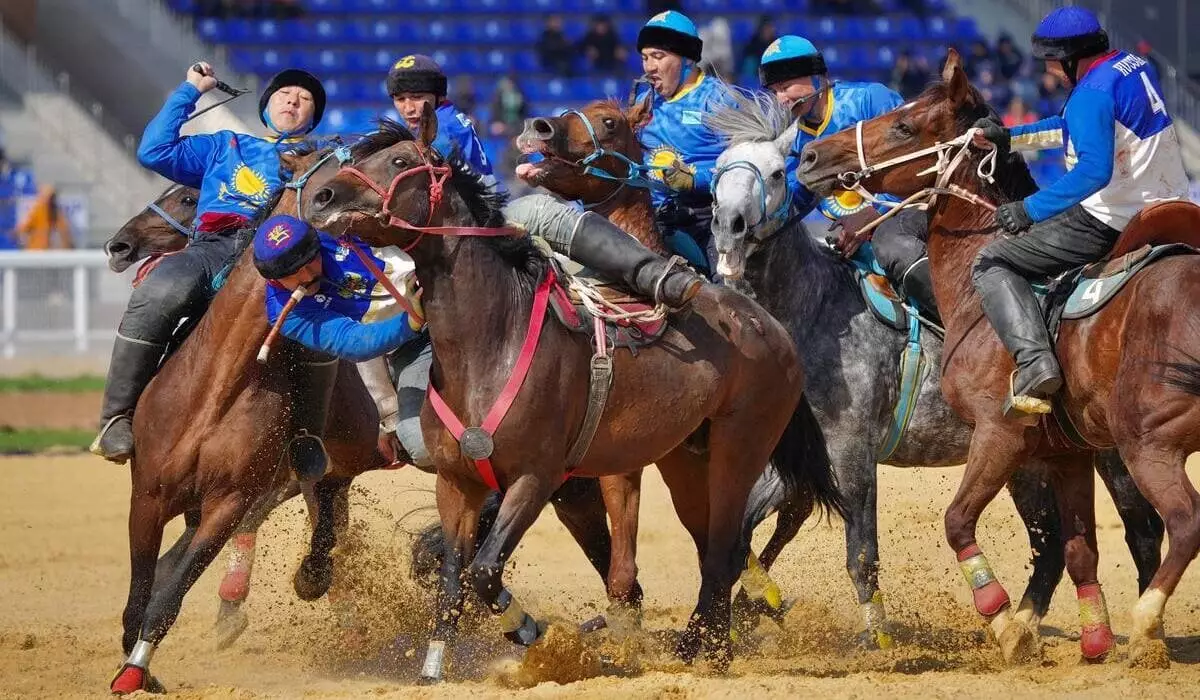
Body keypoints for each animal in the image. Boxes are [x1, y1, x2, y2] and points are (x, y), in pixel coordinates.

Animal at [304, 117, 840, 681]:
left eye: (401, 161)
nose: (321, 196)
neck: (493, 342)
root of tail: (770, 326)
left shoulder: (535, 479)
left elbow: (485, 571)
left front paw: (532, 633)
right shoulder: (457, 485)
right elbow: (453, 580)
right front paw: (433, 668)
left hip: (739, 451)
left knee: (722, 551)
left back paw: (707, 654)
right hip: (686, 460)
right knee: (717, 546)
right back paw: (701, 647)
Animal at [796, 49, 1200, 667]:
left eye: (904, 125)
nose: (812, 154)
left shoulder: (997, 433)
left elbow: (957, 522)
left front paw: (1005, 623)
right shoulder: (1064, 453)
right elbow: (1077, 547)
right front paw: (1090, 637)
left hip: (1146, 445)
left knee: (1176, 524)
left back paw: (1147, 626)